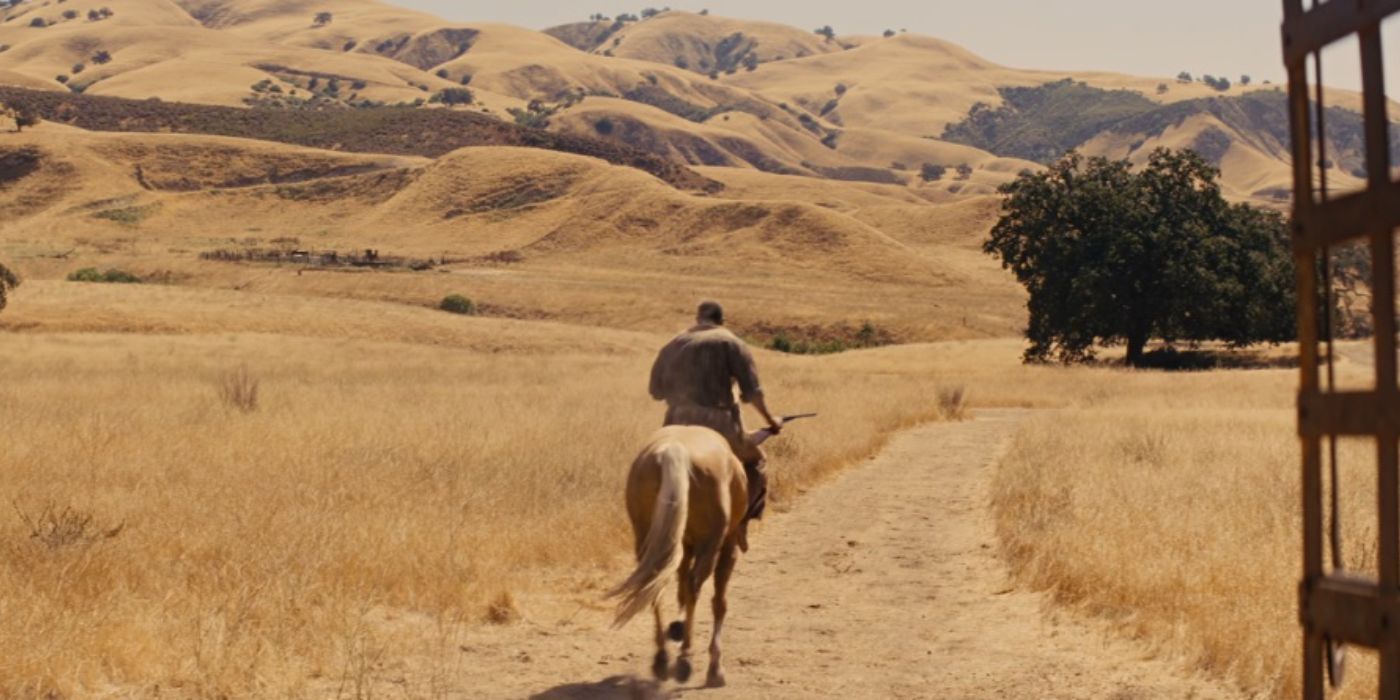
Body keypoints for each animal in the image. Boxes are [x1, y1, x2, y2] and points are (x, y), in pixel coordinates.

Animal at [604, 422, 761, 686]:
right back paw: (684, 659)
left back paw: (661, 659)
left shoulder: (683, 544)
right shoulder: (727, 544)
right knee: (695, 585)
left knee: (656, 584)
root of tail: (674, 451)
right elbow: (718, 601)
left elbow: (680, 589)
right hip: (710, 543)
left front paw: (677, 627)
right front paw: (715, 667)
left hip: (649, 538)